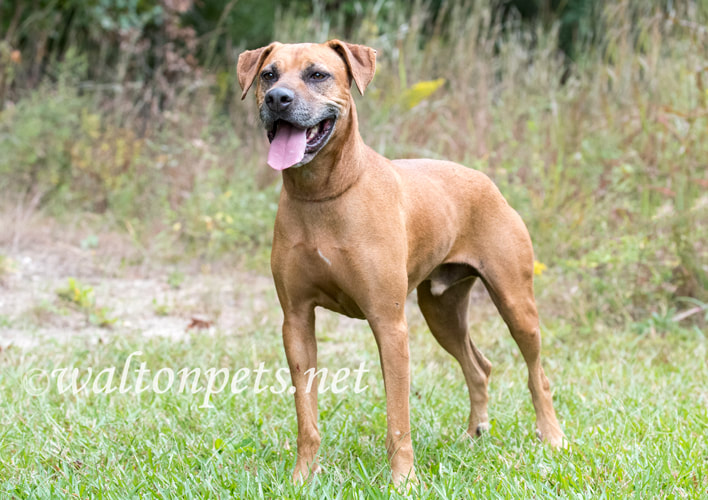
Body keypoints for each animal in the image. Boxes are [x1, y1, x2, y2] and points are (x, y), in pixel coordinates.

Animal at [238, 41, 564, 486]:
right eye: (268, 74)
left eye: (317, 74)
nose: (277, 99)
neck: (323, 193)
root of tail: (486, 181)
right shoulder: (297, 322)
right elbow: (307, 416)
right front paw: (303, 476)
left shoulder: (389, 324)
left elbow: (397, 418)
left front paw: (403, 479)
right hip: (442, 312)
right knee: (478, 367)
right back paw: (474, 433)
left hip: (516, 303)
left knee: (537, 374)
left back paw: (551, 435)